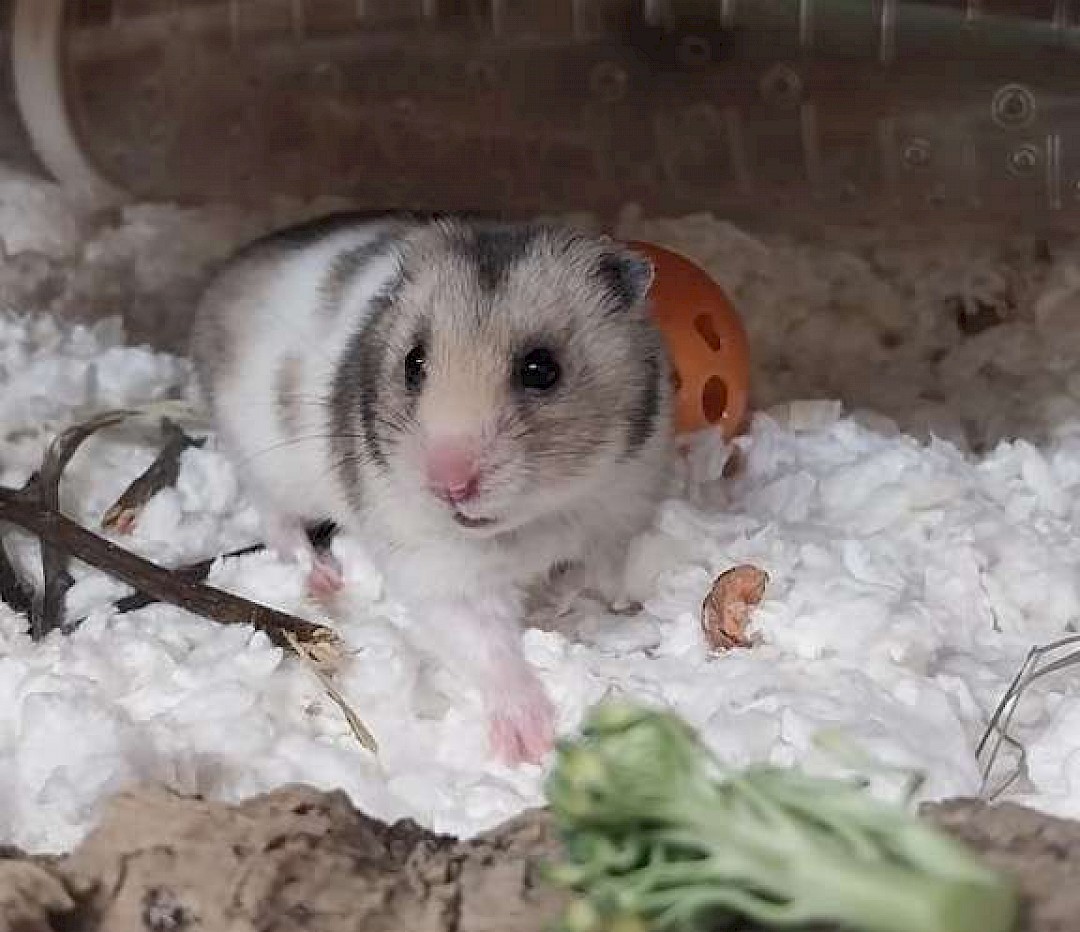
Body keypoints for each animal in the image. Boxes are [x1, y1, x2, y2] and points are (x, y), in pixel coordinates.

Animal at [190, 212, 675, 764]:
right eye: (413, 362)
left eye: (541, 369)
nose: (450, 484)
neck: (531, 520)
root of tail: (218, 283)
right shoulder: (441, 577)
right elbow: (488, 644)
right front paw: (530, 745)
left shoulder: (619, 513)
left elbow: (599, 573)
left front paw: (592, 605)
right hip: (264, 461)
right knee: (278, 522)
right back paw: (323, 579)